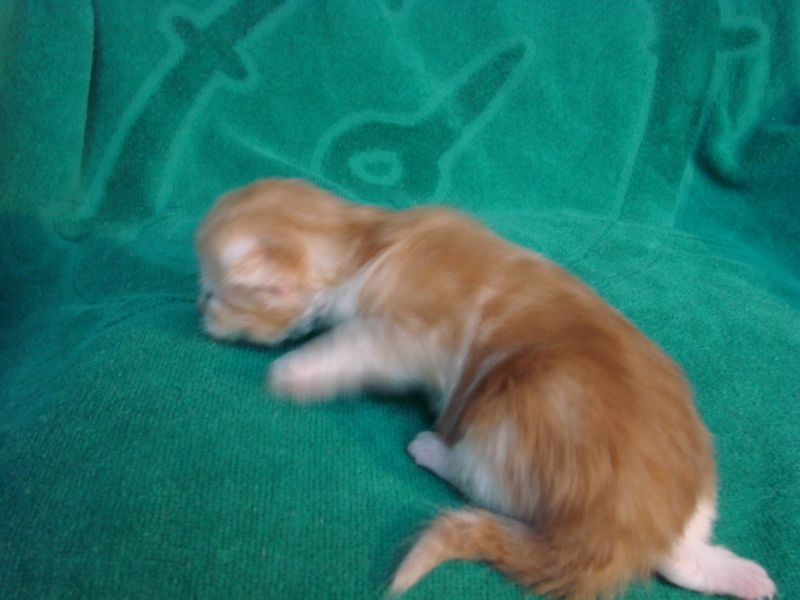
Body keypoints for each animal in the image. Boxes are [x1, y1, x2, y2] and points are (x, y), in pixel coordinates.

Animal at [196, 178, 776, 600]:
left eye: (211, 293)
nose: (196, 310)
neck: (369, 239)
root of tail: (626, 528)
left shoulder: (410, 332)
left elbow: (350, 346)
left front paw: (294, 372)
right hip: (698, 482)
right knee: (676, 557)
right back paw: (740, 577)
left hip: (509, 415)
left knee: (481, 481)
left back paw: (432, 449)